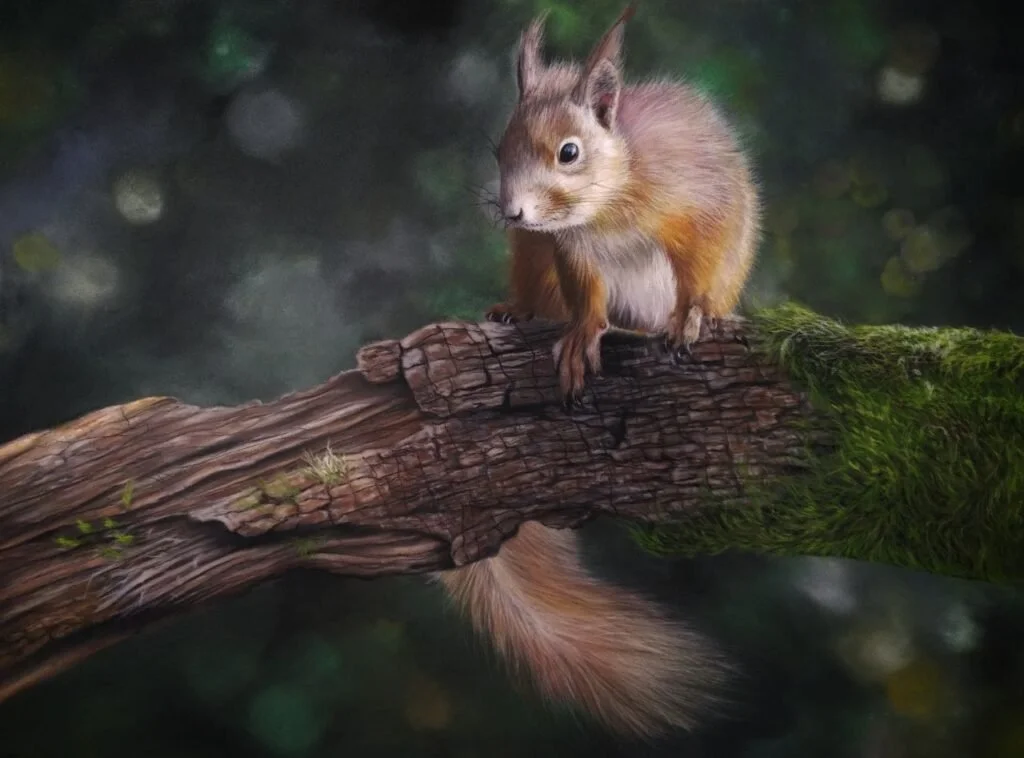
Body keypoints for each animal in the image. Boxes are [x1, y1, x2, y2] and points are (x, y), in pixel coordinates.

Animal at [434, 3, 761, 740]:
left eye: (568, 152)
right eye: (499, 151)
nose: (512, 211)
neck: (610, 202)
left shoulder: (702, 204)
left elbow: (703, 264)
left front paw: (692, 318)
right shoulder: (567, 251)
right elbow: (583, 296)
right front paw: (582, 337)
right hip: (531, 261)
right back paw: (518, 313)